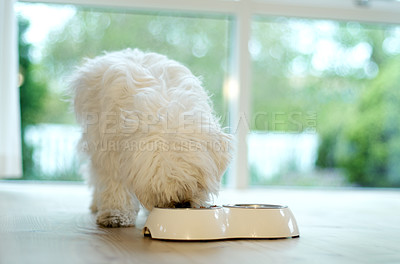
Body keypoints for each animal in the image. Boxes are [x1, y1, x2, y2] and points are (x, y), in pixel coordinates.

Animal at [70, 49, 233, 227]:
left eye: (197, 182)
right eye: (161, 185)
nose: (182, 203)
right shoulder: (109, 151)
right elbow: (114, 183)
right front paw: (115, 213)